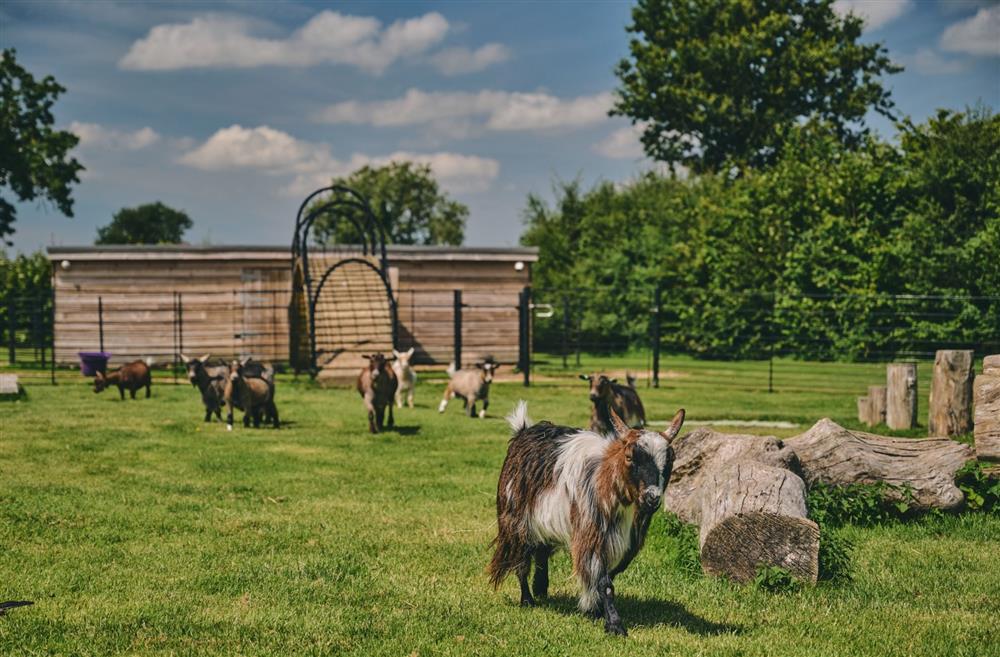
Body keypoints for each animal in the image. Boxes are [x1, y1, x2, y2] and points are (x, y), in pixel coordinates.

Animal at [488, 400, 684, 636]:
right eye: (629, 457)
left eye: (671, 458)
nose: (651, 498)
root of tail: (523, 430)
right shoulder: (591, 533)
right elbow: (604, 582)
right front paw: (614, 625)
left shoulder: (627, 542)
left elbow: (609, 576)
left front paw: (597, 610)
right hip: (515, 519)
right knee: (521, 559)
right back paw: (527, 599)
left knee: (541, 551)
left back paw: (541, 588)